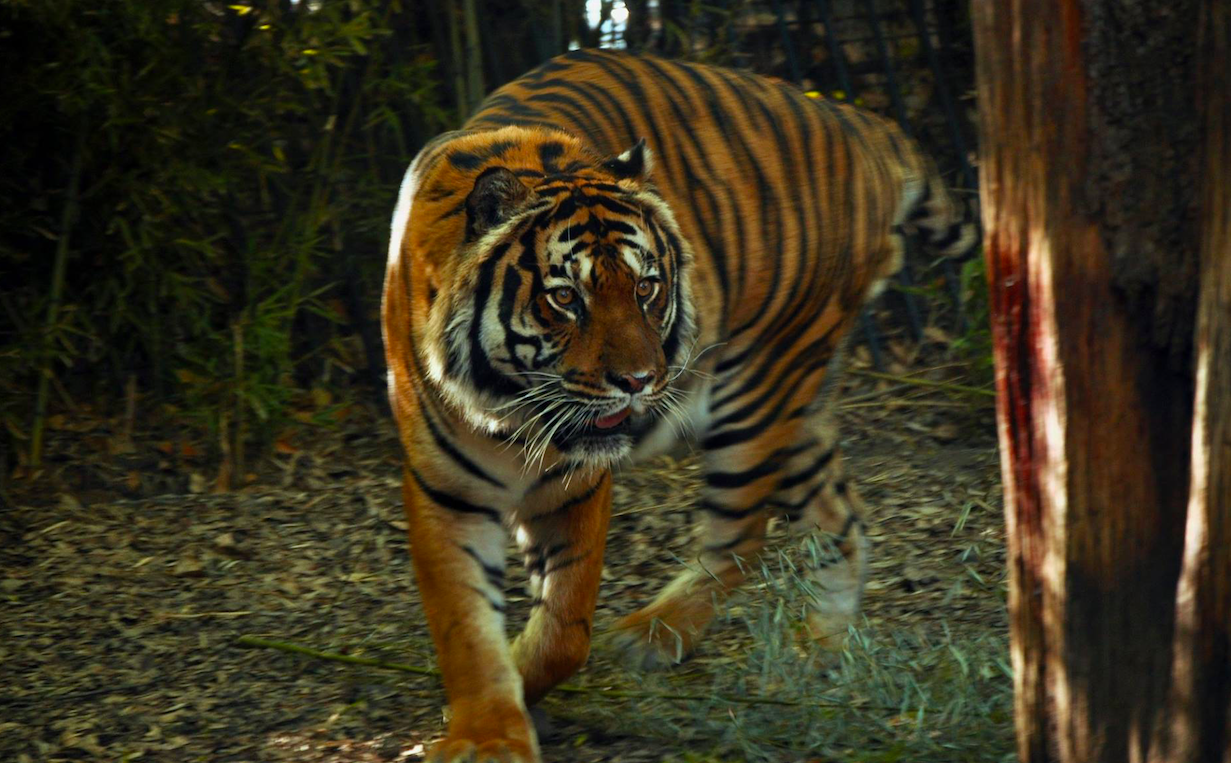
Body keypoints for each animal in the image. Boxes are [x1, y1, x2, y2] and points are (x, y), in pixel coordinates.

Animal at [382, 48, 977, 762]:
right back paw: (820, 651)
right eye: (566, 298)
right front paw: (487, 732)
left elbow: (566, 626)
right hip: (797, 408)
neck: (507, 406)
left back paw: (655, 633)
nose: (639, 380)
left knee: (743, 536)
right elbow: (465, 627)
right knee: (843, 517)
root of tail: (859, 122)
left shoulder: (576, 481)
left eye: (646, 287)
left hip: (758, 388)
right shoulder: (447, 491)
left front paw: (520, 690)